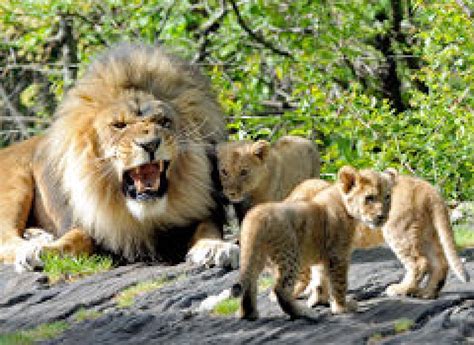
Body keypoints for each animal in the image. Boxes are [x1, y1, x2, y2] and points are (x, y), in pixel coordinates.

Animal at [0, 42, 237, 268]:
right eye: (120, 125)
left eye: (163, 122)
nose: (150, 144)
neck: (143, 215)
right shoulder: (91, 224)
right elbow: (74, 237)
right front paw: (44, 252)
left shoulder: (202, 212)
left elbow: (207, 228)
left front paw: (215, 248)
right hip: (14, 188)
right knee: (6, 239)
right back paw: (36, 241)